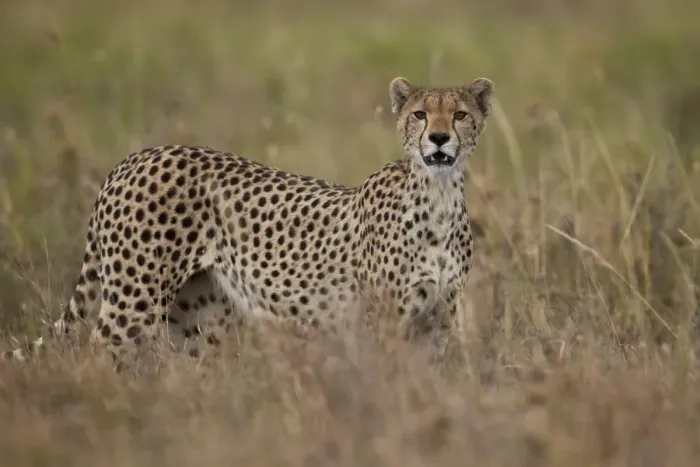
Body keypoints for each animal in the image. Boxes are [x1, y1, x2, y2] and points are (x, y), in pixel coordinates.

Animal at [4, 76, 494, 366]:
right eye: (420, 114)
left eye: (460, 114)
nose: (438, 138)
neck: (438, 195)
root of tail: (137, 156)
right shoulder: (385, 318)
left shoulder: (437, 317)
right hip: (134, 298)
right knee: (101, 353)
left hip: (198, 318)